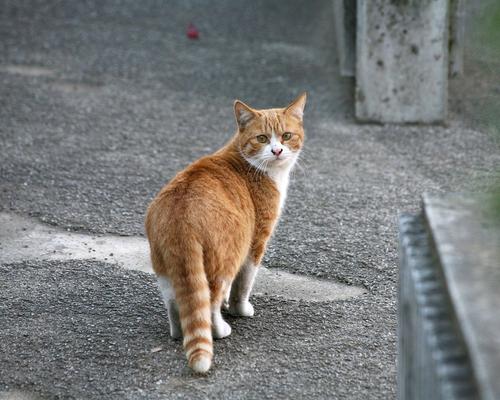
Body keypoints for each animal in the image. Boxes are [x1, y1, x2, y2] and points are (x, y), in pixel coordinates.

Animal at [145, 92, 306, 374]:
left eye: (286, 135)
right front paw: (239, 309)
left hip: (164, 266)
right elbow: (243, 285)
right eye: (262, 138)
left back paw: (178, 331)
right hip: (226, 259)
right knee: (209, 304)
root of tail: (181, 214)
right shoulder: (256, 242)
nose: (277, 151)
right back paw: (220, 329)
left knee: (176, 302)